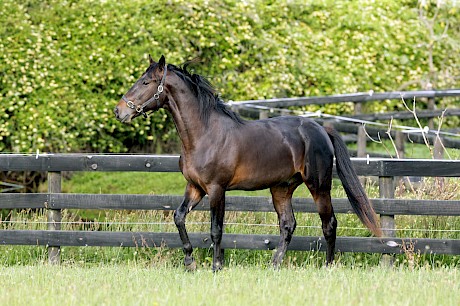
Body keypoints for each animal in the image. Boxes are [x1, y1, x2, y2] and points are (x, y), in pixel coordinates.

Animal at [113, 55, 382, 270]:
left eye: (145, 82)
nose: (120, 112)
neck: (205, 133)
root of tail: (321, 129)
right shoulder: (195, 187)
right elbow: (179, 217)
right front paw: (190, 262)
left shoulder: (216, 189)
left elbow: (216, 229)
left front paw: (216, 266)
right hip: (282, 188)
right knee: (288, 225)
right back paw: (274, 265)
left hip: (319, 186)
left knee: (329, 224)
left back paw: (328, 266)